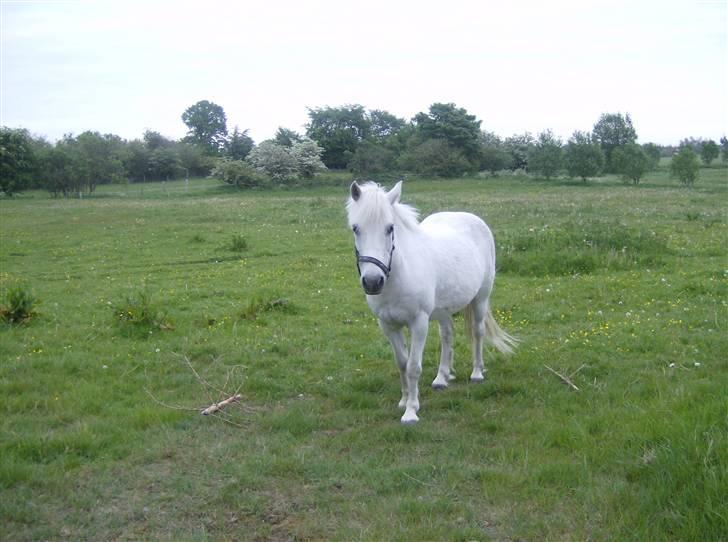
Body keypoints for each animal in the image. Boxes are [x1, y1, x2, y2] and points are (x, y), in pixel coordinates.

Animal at [346, 182, 516, 424]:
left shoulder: (419, 322)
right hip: (444, 311)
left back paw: (476, 373)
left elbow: (413, 366)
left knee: (478, 332)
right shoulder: (388, 325)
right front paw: (403, 400)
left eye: (390, 228)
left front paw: (411, 411)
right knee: (447, 335)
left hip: (480, 299)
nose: (372, 281)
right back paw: (441, 378)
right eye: (355, 228)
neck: (400, 275)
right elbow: (401, 363)